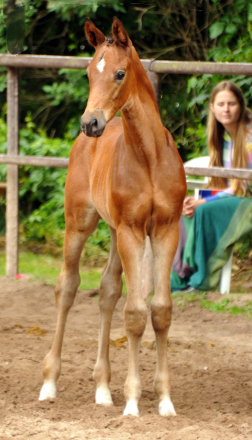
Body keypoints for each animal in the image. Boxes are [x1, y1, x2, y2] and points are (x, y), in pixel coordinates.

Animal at [39, 17, 185, 416]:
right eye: (89, 73)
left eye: (119, 73)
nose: (90, 123)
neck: (149, 158)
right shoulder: (133, 231)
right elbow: (134, 314)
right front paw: (133, 401)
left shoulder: (164, 231)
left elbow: (160, 310)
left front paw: (165, 401)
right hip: (81, 224)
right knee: (67, 287)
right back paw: (49, 383)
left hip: (114, 232)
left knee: (107, 291)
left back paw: (103, 388)